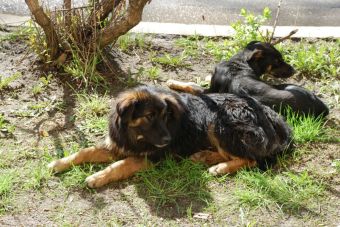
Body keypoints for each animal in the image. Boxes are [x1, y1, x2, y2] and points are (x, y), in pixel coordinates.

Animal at [47, 85, 292, 188]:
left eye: (166, 116)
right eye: (149, 116)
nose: (167, 142)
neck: (135, 136)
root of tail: (269, 114)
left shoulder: (151, 157)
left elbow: (121, 164)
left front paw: (97, 177)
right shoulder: (117, 145)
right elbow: (84, 151)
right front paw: (59, 163)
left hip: (220, 121)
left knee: (250, 159)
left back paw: (219, 168)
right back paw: (203, 156)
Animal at [167, 40, 330, 117]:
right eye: (277, 62)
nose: (294, 70)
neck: (240, 62)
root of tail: (322, 107)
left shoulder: (210, 91)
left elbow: (191, 85)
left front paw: (172, 82)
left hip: (289, 86)